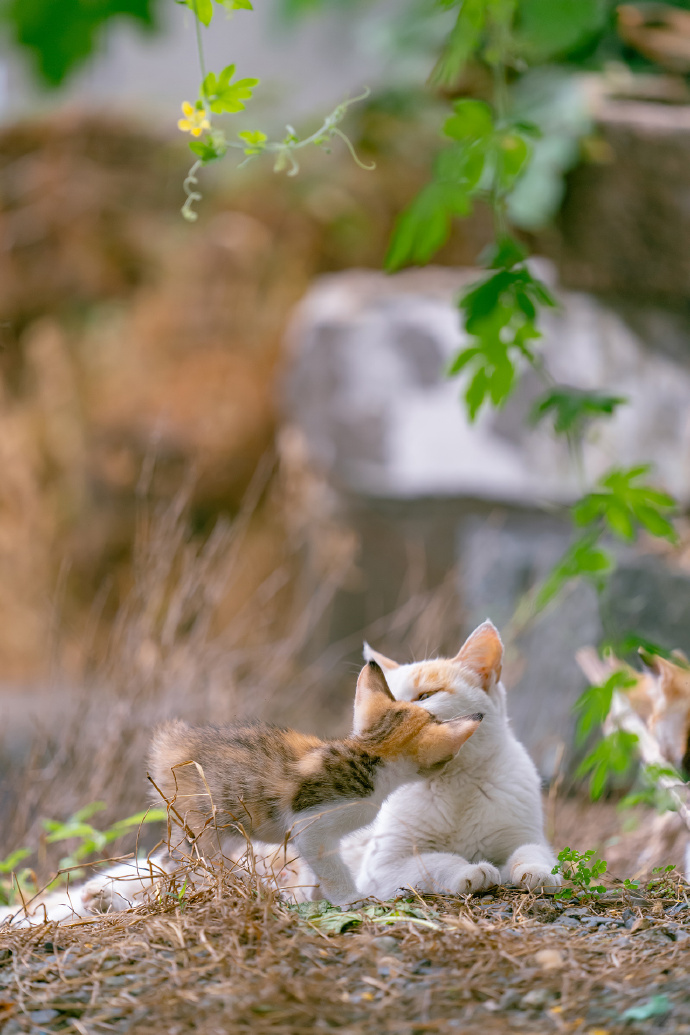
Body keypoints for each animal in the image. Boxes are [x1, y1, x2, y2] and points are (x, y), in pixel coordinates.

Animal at [148, 662, 484, 906]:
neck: (369, 753)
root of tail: (171, 745)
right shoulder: (311, 822)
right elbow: (330, 865)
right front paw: (350, 899)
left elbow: (313, 865)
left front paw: (315, 895)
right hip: (202, 824)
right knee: (181, 860)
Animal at [339, 621, 562, 898]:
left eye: (425, 697)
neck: (453, 782)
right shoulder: (380, 870)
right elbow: (436, 861)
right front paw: (470, 871)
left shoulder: (527, 838)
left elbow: (530, 851)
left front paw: (539, 872)